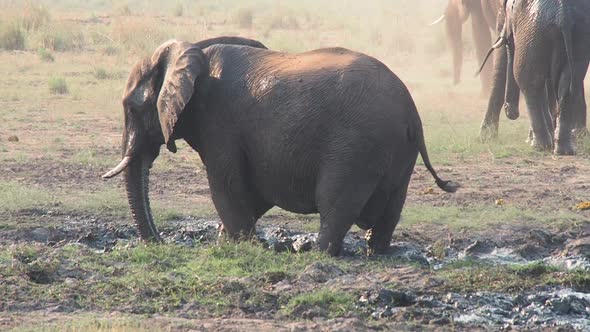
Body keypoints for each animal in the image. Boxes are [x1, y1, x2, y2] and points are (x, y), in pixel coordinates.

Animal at [104, 37, 460, 256]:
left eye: (132, 108)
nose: (160, 243)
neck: (193, 51)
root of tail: (412, 112)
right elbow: (254, 193)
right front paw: (227, 243)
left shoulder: (219, 122)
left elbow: (227, 186)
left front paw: (241, 247)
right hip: (398, 151)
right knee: (390, 209)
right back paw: (378, 252)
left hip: (359, 145)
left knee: (335, 202)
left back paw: (317, 254)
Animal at [480, 0, 590, 154]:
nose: (511, 111)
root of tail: (563, 15)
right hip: (575, 33)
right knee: (567, 85)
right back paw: (564, 149)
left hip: (535, 30)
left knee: (529, 81)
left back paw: (540, 145)